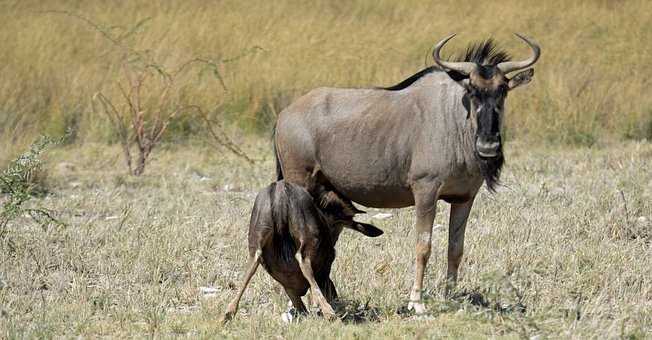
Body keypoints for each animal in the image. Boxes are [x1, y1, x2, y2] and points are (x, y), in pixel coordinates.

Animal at [223, 179, 382, 322]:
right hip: (306, 235)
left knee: (251, 265)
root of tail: (280, 190)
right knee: (303, 260)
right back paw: (329, 312)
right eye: (337, 229)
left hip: (257, 237)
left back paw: (228, 313)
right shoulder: (324, 268)